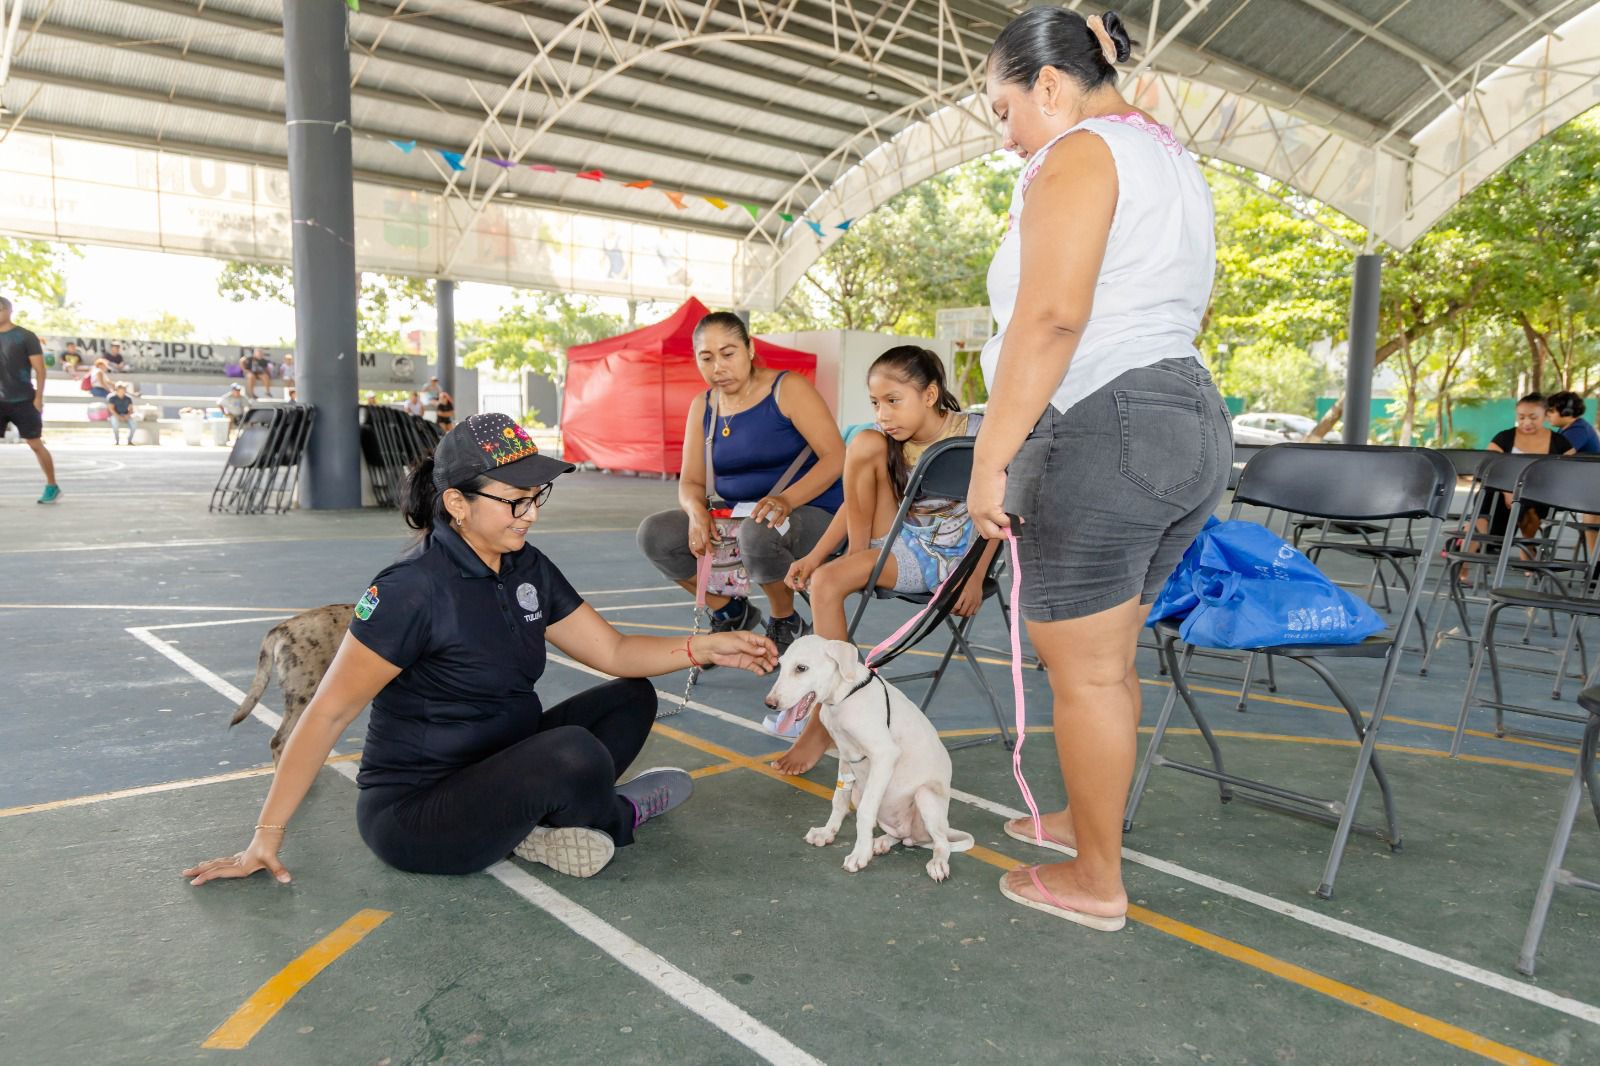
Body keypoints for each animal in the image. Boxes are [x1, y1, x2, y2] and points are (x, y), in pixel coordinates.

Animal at [764, 633, 972, 877]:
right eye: (780, 665)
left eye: (801, 668)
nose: (769, 703)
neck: (843, 697)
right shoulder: (845, 756)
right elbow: (838, 800)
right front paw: (827, 833)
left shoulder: (884, 755)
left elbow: (864, 812)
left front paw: (860, 855)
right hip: (867, 797)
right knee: (903, 837)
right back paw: (881, 842)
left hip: (925, 797)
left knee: (941, 843)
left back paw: (937, 863)